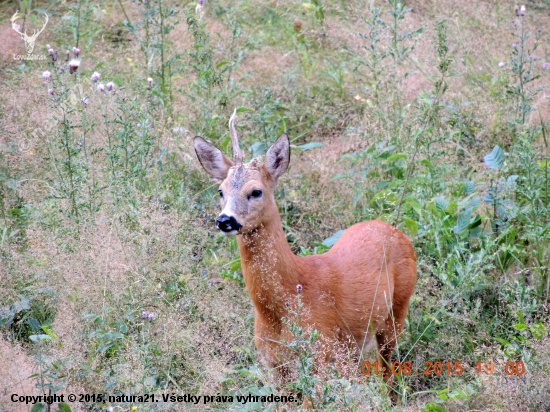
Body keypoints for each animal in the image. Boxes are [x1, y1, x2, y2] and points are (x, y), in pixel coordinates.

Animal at [194, 110, 418, 384]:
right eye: (220, 191)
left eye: (256, 191)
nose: (225, 220)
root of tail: (393, 229)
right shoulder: (272, 362)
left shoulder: (318, 351)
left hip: (397, 309)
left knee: (388, 373)